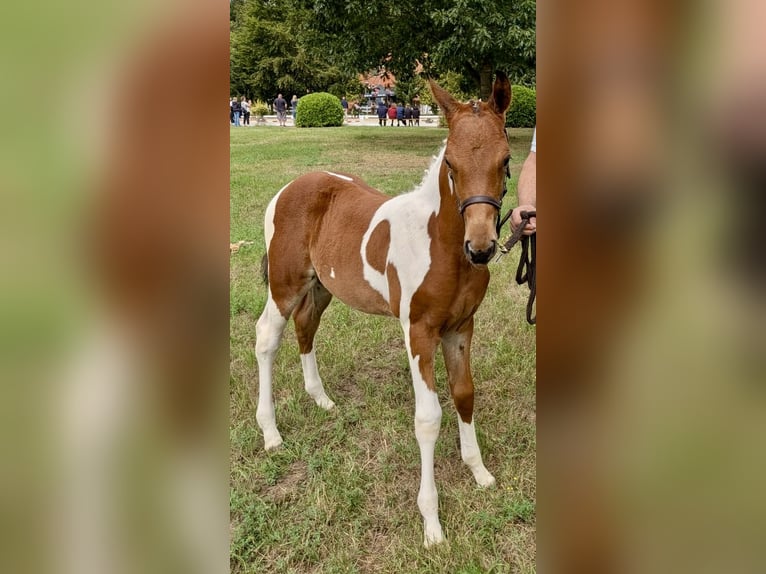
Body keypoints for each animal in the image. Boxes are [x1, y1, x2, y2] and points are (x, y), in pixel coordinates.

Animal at [254, 72, 513, 547]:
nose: (481, 247)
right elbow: (428, 417)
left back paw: (321, 398)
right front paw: (431, 523)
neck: (442, 246)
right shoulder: (419, 330)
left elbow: (464, 394)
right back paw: (271, 433)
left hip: (322, 287)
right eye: (450, 163)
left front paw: (479, 471)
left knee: (306, 327)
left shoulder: (461, 327)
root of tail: (289, 187)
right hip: (285, 285)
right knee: (267, 338)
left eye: (505, 160)